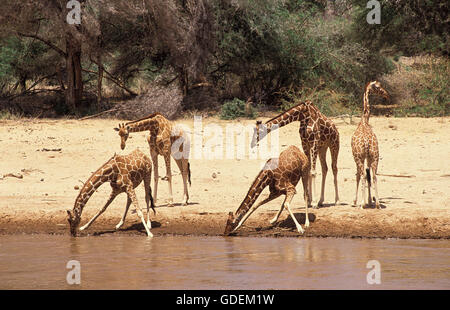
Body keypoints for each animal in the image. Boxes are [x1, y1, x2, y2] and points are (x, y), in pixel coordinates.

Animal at [352, 81, 390, 209]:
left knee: (363, 175)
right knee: (374, 176)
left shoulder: (358, 157)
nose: (386, 95)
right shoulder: (368, 157)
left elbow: (358, 176)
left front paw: (356, 201)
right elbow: (369, 176)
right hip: (375, 156)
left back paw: (362, 204)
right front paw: (369, 200)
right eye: (378, 87)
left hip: (359, 157)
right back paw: (377, 204)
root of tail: (367, 143)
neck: (364, 121)